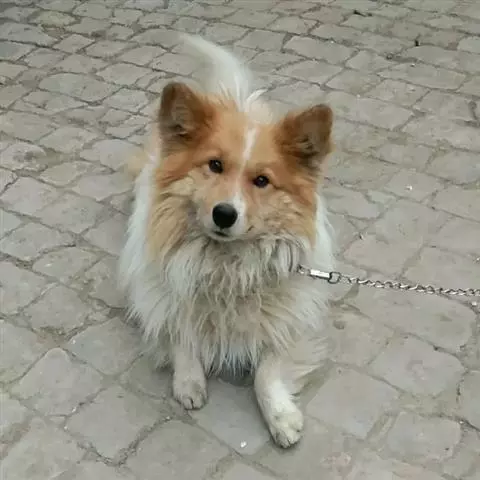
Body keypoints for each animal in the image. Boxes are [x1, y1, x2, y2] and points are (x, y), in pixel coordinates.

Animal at [119, 35, 335, 448]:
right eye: (214, 165)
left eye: (262, 181)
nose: (224, 214)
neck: (225, 262)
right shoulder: (160, 295)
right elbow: (181, 334)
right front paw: (188, 380)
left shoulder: (290, 321)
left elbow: (267, 371)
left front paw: (280, 415)